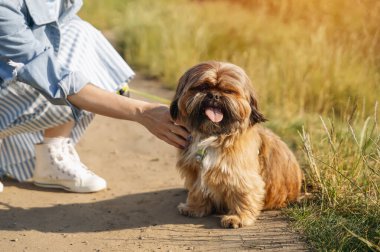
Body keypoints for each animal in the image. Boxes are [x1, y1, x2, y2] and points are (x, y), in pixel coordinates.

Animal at [170, 61, 302, 228]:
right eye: (203, 87)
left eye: (228, 90)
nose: (214, 95)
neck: (214, 135)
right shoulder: (195, 170)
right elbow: (197, 190)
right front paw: (194, 208)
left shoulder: (241, 174)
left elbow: (242, 193)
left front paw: (238, 217)